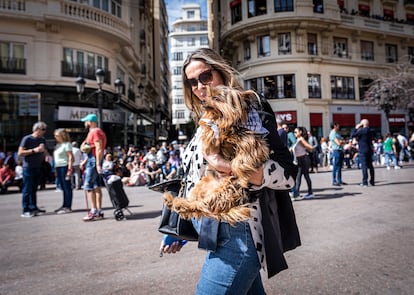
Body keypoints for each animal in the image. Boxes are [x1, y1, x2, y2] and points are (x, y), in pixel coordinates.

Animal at [163, 86, 270, 225]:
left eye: (215, 97)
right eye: (207, 95)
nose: (203, 101)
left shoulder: (254, 142)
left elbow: (243, 157)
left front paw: (240, 174)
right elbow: (211, 129)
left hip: (225, 190)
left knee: (201, 207)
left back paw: (177, 203)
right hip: (202, 186)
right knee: (198, 205)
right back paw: (174, 201)